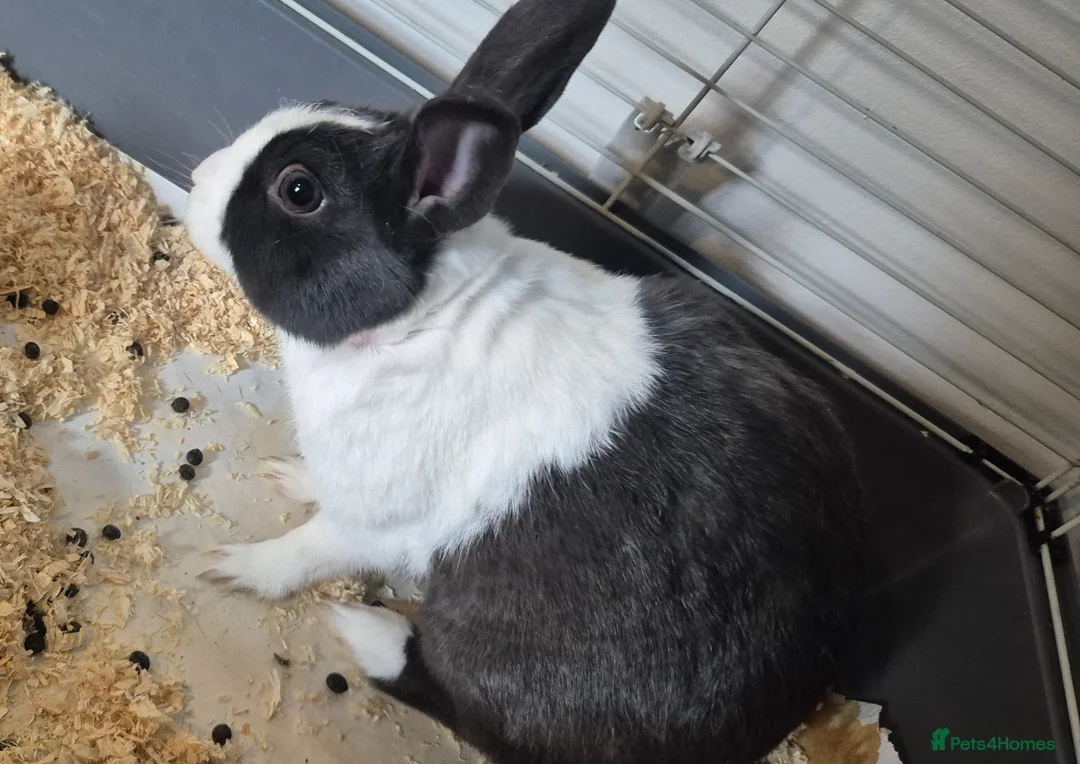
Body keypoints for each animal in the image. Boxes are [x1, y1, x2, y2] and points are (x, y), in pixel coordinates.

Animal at [184, 0, 867, 762]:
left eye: (298, 190)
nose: (198, 178)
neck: (420, 315)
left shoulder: (376, 521)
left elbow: (308, 549)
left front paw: (231, 567)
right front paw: (287, 476)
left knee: (470, 710)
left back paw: (370, 633)